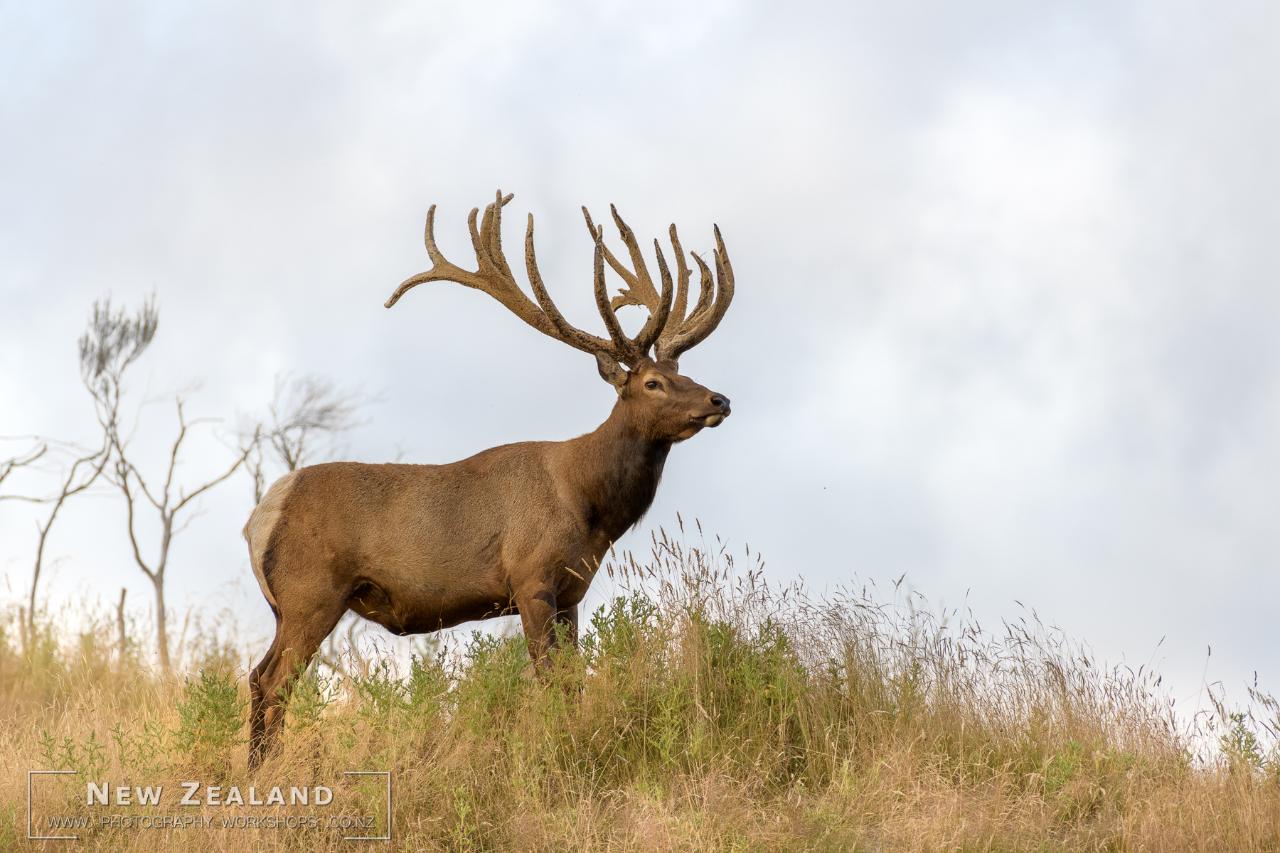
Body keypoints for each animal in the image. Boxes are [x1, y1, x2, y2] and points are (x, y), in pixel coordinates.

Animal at [244, 190, 737, 763]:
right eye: (654, 383)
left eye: (683, 372)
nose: (718, 400)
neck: (589, 505)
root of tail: (259, 518)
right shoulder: (530, 576)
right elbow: (549, 683)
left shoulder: (573, 592)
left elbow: (574, 684)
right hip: (312, 593)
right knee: (275, 681)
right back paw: (266, 770)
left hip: (287, 607)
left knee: (257, 676)